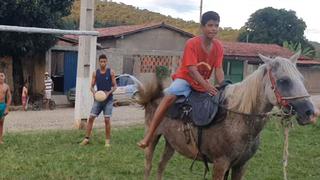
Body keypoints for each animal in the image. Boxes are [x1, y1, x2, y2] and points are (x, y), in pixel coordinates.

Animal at [137, 51, 318, 179]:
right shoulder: (220, 165)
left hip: (171, 143)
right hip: (153, 140)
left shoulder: (240, 166)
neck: (238, 118)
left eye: (302, 79)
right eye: (283, 81)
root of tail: (155, 96)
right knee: (148, 167)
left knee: (161, 166)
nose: (310, 113)